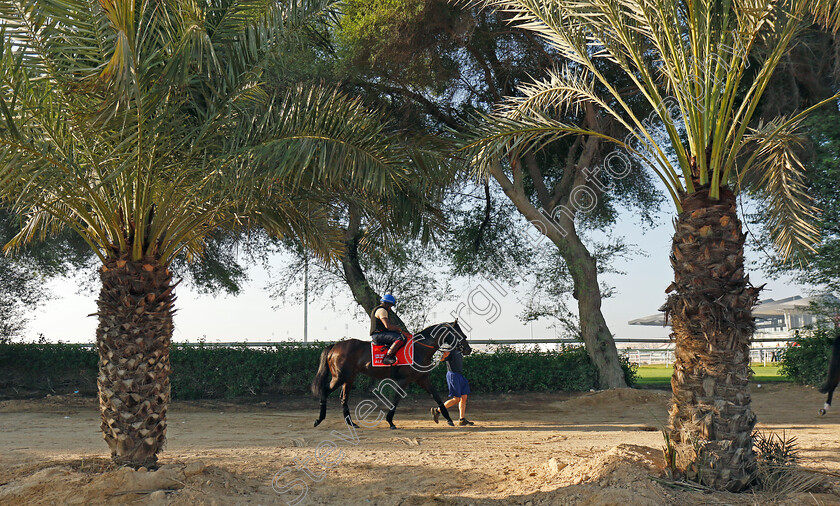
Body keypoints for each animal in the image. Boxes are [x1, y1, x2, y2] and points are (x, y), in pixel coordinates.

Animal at [310, 322, 472, 428]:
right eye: (458, 332)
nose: (468, 349)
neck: (419, 349)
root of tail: (334, 346)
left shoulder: (422, 379)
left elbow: (437, 397)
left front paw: (448, 419)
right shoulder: (404, 380)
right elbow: (395, 400)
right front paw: (390, 421)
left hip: (348, 378)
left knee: (343, 398)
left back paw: (351, 423)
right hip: (339, 377)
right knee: (325, 391)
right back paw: (319, 419)